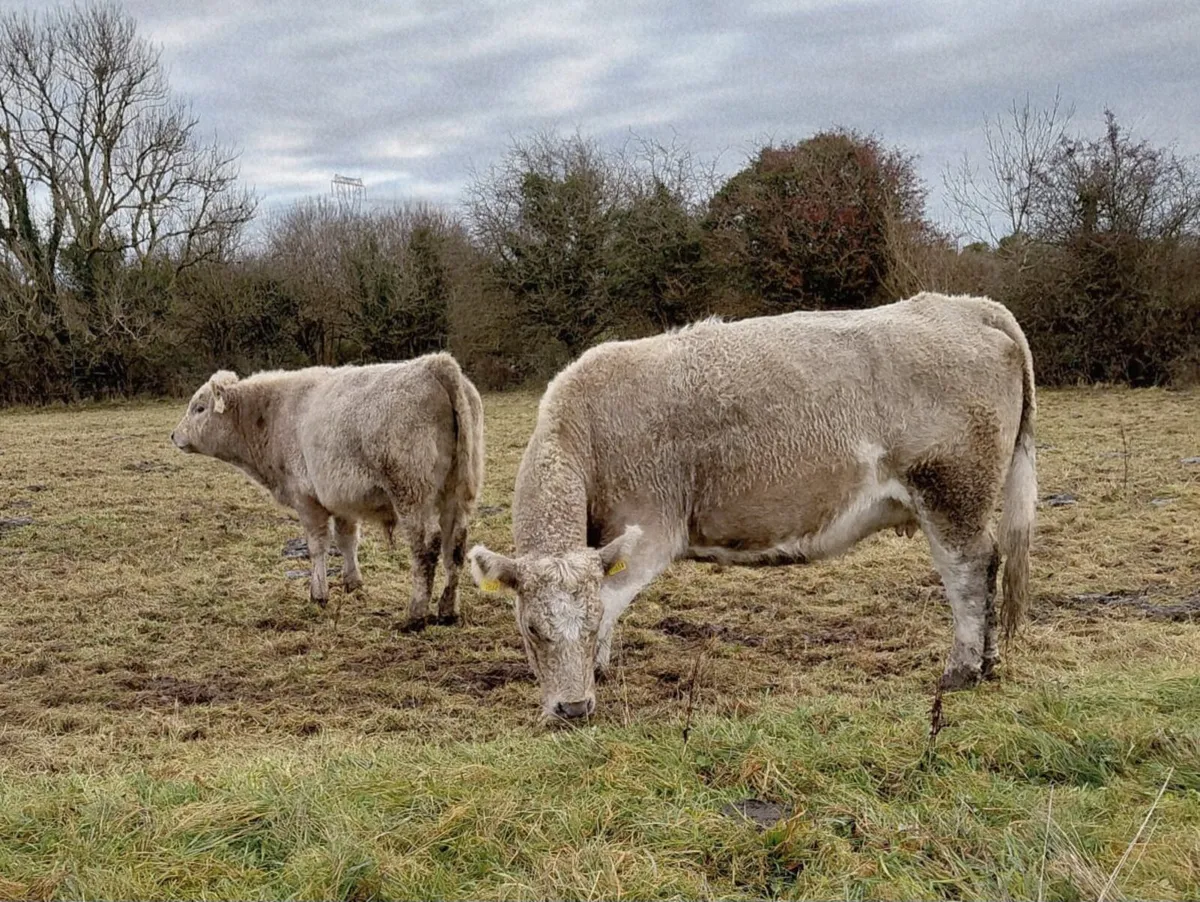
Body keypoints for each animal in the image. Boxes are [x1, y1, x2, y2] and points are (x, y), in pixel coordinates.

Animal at [171, 352, 484, 628]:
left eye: (199, 408)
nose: (174, 435)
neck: (271, 414)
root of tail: (435, 363)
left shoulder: (307, 499)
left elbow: (317, 546)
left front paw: (319, 593)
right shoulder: (344, 500)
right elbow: (347, 541)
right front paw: (352, 582)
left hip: (412, 494)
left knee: (426, 548)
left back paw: (416, 615)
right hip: (457, 494)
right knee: (455, 546)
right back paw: (448, 610)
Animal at [468, 292, 1036, 721]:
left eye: (576, 629)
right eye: (532, 629)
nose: (571, 710)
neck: (586, 428)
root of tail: (965, 305)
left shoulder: (650, 527)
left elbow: (608, 599)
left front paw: (596, 669)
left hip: (951, 492)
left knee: (968, 572)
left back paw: (963, 669)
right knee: (988, 566)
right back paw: (989, 660)